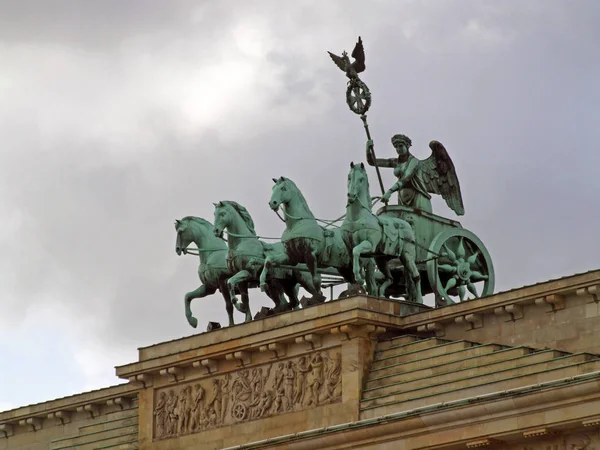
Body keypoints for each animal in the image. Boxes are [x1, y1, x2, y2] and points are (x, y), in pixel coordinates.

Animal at [342, 162, 422, 302]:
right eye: (349, 177)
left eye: (361, 179)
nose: (351, 196)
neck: (356, 218)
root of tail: (407, 224)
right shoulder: (349, 247)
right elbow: (355, 257)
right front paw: (358, 277)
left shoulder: (369, 245)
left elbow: (357, 251)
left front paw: (359, 277)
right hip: (381, 260)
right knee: (390, 278)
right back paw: (381, 294)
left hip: (407, 255)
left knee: (416, 276)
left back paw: (419, 301)